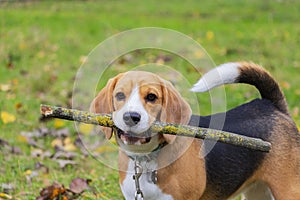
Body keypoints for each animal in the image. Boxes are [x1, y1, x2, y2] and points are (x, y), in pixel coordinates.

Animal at [89, 61, 300, 199]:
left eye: (151, 97)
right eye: (119, 95)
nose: (131, 117)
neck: (146, 158)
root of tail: (271, 105)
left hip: (288, 190)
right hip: (258, 192)